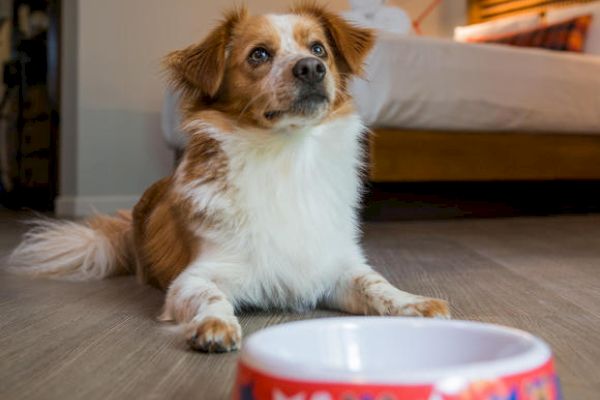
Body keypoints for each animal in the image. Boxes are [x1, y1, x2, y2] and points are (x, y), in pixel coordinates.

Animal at [8, 3, 450, 354]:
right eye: (259, 55)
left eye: (318, 48)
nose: (312, 68)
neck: (285, 157)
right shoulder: (194, 277)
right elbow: (211, 296)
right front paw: (214, 324)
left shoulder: (337, 266)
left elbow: (376, 284)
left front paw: (413, 302)